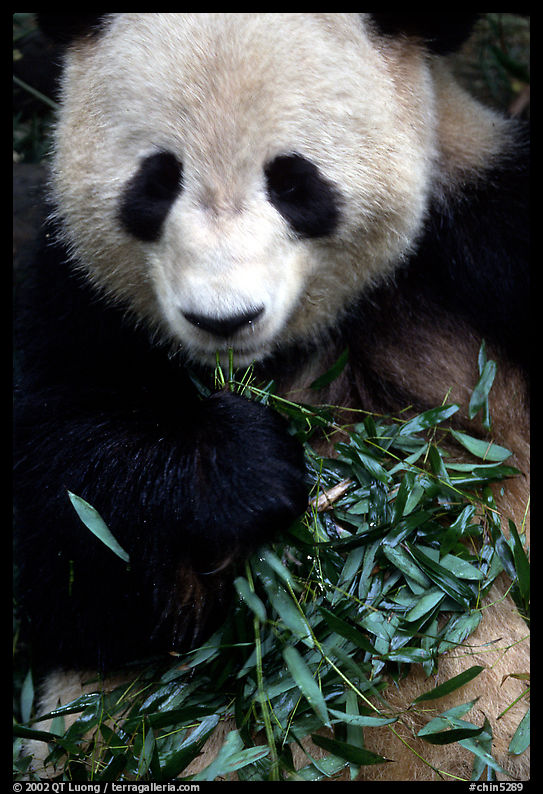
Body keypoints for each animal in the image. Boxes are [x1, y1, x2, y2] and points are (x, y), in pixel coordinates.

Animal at [14, 13, 529, 781]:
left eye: (293, 183)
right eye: (155, 182)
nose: (223, 319)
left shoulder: (481, 227)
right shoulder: (80, 306)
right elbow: (68, 548)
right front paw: (241, 467)